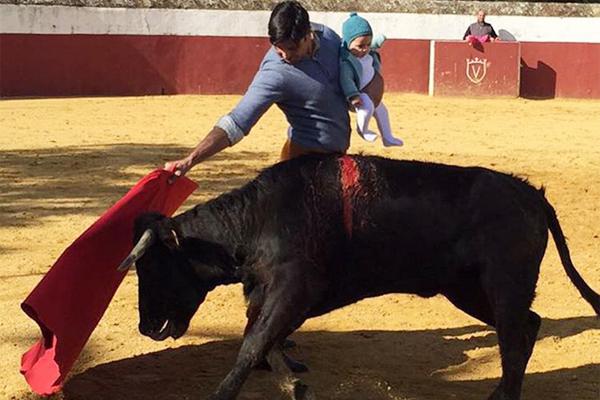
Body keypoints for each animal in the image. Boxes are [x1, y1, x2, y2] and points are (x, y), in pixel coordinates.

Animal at [117, 155, 596, 400]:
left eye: (152, 265)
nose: (145, 326)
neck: (258, 220)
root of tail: (531, 194)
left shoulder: (294, 290)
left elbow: (252, 344)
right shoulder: (272, 295)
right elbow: (263, 341)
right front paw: (296, 385)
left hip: (502, 284)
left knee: (513, 337)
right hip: (466, 289)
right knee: (526, 326)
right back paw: (500, 393)